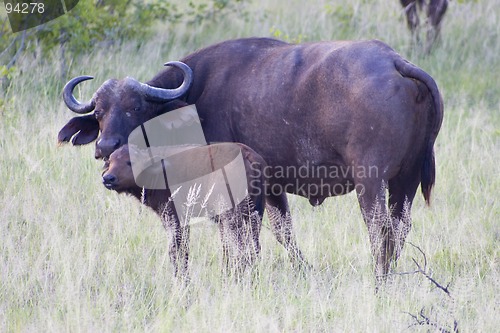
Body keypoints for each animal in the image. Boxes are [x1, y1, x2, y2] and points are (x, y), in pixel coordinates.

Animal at [59, 37, 446, 280]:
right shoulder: (270, 186)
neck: (195, 100)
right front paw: (300, 270)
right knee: (399, 227)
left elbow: (235, 236)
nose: (105, 147)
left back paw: (379, 278)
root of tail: (395, 61)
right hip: (406, 179)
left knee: (379, 228)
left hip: (372, 180)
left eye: (136, 107)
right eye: (99, 113)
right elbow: (281, 231)